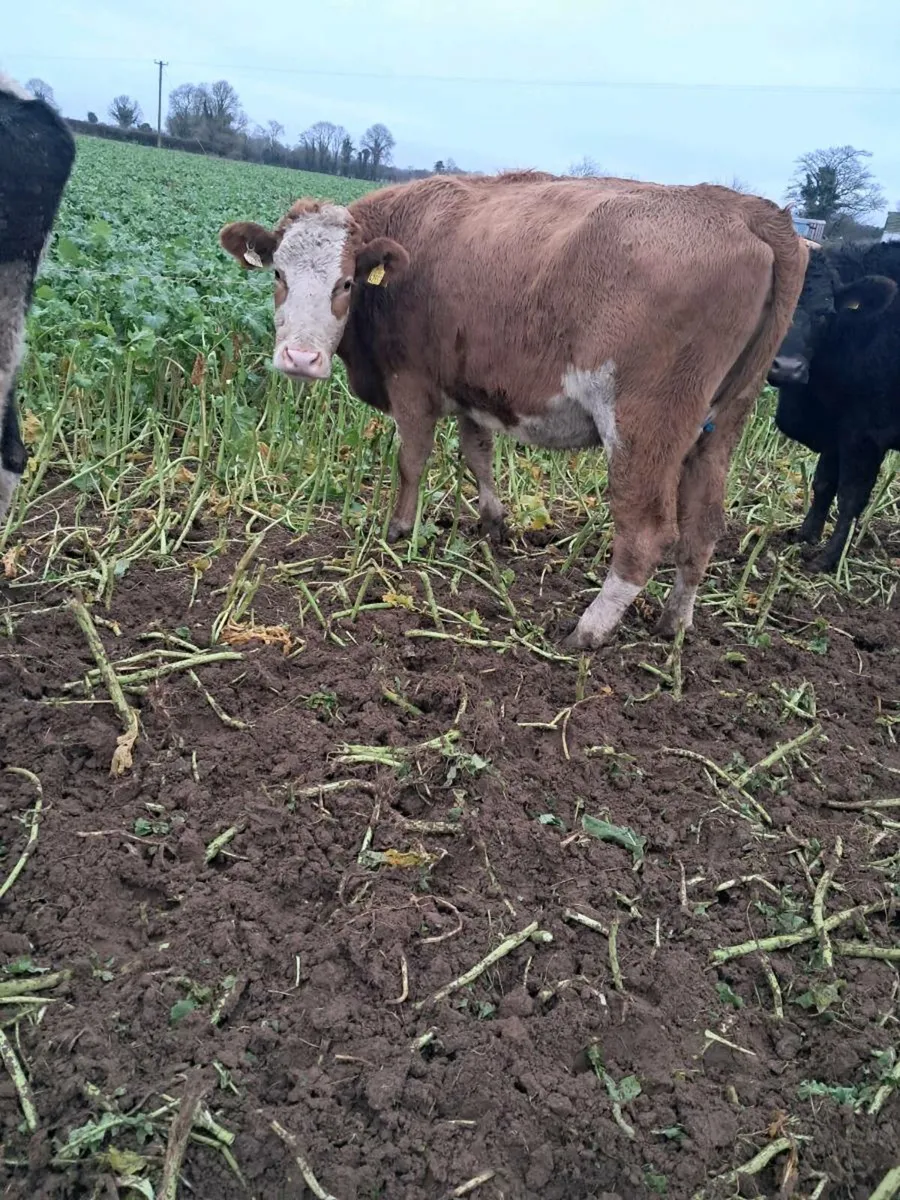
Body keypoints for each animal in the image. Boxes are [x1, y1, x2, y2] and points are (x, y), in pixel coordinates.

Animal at [219, 171, 807, 649]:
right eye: (278, 275)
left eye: (345, 283)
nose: (300, 358)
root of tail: (745, 209)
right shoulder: (472, 391)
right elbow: (477, 453)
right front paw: (494, 522)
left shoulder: (412, 385)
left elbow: (411, 462)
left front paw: (399, 532)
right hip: (721, 425)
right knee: (703, 525)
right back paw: (674, 622)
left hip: (645, 425)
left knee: (645, 532)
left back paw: (589, 629)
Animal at [767, 239, 900, 572]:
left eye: (826, 314)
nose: (788, 368)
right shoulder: (836, 429)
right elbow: (824, 483)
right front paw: (806, 536)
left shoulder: (865, 435)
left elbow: (851, 497)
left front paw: (829, 559)